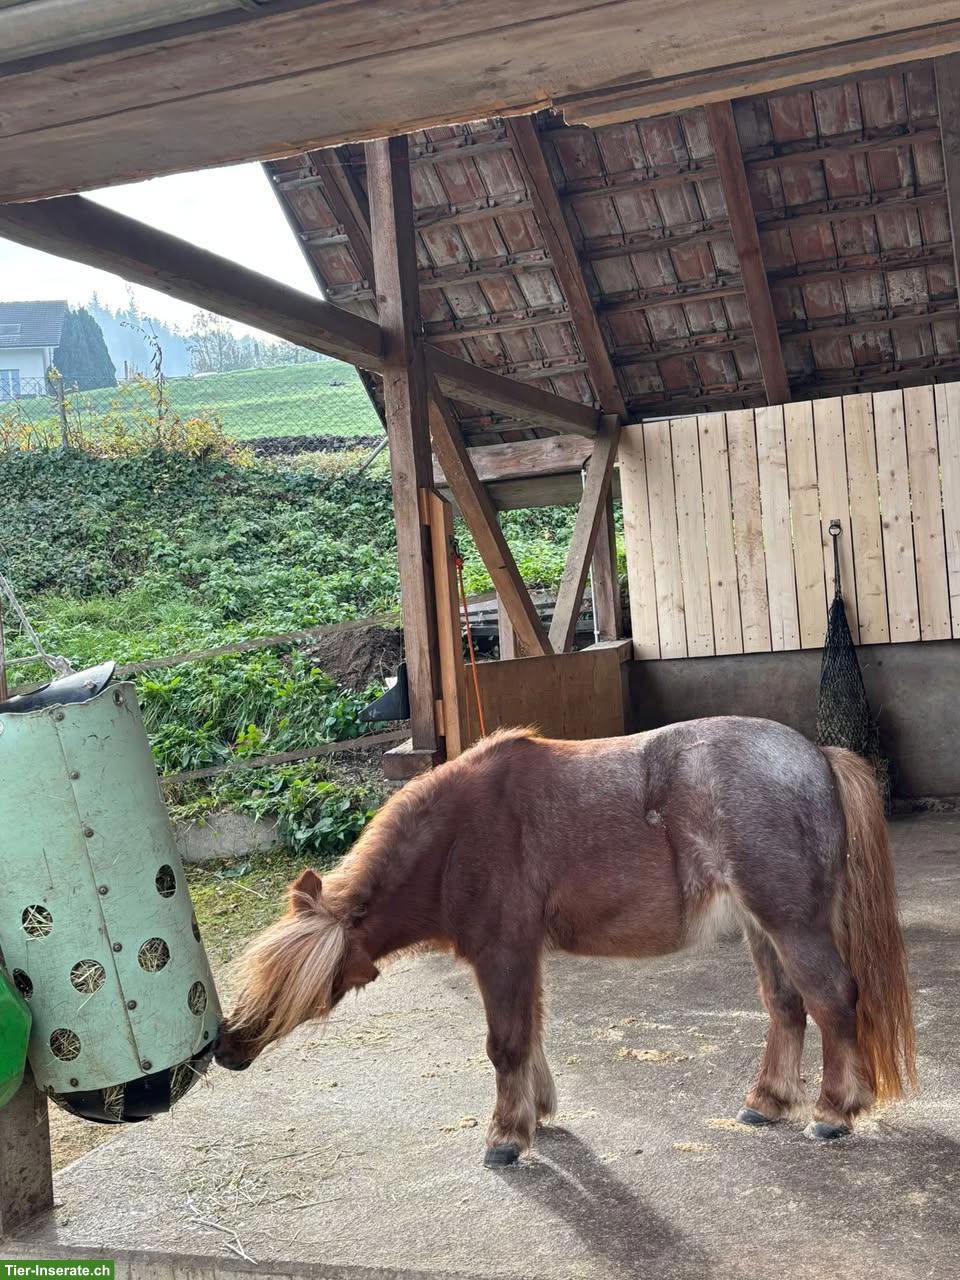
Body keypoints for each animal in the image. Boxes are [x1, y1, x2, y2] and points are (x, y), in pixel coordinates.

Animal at [214, 717, 916, 1167]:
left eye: (302, 995)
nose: (228, 1047)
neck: (457, 840)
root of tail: (818, 757)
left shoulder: (501, 954)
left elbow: (505, 1044)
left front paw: (505, 1135)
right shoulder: (522, 957)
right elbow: (530, 1034)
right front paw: (537, 1114)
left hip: (792, 925)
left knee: (833, 1001)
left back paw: (833, 1113)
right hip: (761, 930)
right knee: (787, 1007)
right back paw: (767, 1102)